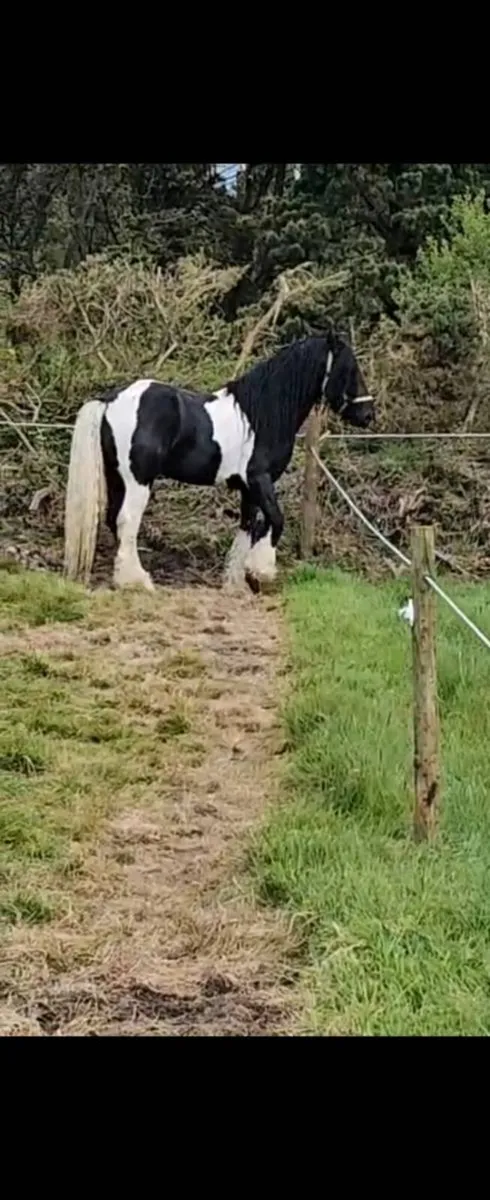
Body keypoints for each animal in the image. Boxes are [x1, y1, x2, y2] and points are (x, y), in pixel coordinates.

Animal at [63, 328, 375, 593]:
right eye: (349, 369)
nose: (369, 414)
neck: (259, 417)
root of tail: (112, 399)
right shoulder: (259, 480)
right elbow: (276, 520)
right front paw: (261, 572)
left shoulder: (248, 489)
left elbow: (248, 527)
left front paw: (237, 582)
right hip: (138, 480)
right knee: (127, 519)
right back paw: (137, 581)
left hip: (117, 477)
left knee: (114, 519)